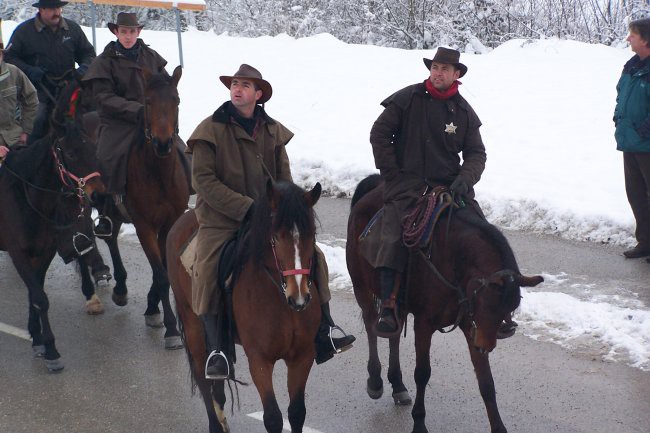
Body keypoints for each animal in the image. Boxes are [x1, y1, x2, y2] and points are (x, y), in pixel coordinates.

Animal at [0, 78, 103, 372]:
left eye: (93, 148)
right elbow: (39, 298)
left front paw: (37, 338)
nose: (98, 195)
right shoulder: (18, 252)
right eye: (70, 152)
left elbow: (36, 293)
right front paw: (52, 350)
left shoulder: (44, 251)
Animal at [97, 66, 187, 350]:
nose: (162, 143)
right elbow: (161, 274)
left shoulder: (169, 223)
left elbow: (162, 272)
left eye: (176, 100)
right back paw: (120, 288)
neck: (158, 174)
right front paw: (171, 329)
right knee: (109, 236)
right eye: (147, 102)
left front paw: (153, 308)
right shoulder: (143, 225)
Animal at [165, 179, 322, 432]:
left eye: (312, 234)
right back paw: (215, 424)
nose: (299, 298)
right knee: (202, 378)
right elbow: (273, 417)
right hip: (192, 324)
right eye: (276, 237)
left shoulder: (302, 356)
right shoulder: (259, 360)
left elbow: (297, 412)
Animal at [346, 174, 544, 430]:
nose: (485, 346)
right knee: (372, 326)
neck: (453, 260)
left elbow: (486, 383)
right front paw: (419, 423)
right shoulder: (424, 324)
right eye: (489, 303)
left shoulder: (472, 326)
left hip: (397, 304)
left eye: (510, 307)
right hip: (361, 287)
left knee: (393, 334)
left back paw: (398, 385)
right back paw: (376, 381)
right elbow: (422, 373)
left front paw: (499, 427)